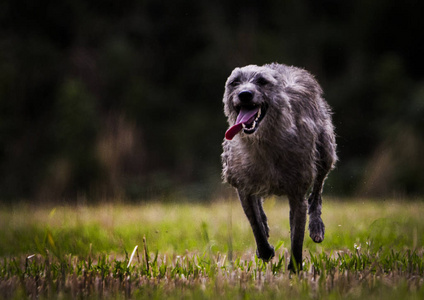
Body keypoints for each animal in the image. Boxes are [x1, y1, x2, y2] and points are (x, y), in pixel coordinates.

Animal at [222, 63, 338, 272]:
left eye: (262, 81)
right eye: (234, 82)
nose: (244, 94)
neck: (263, 144)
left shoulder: (297, 194)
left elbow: (296, 238)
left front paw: (295, 268)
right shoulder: (243, 187)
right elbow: (255, 223)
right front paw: (265, 250)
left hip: (326, 149)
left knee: (317, 190)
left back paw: (316, 226)